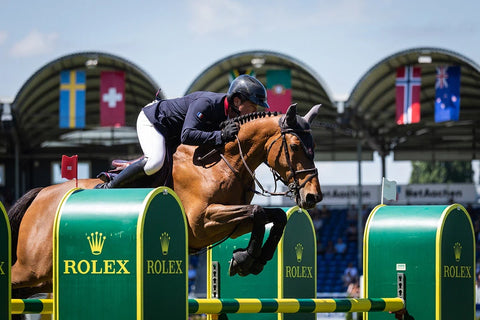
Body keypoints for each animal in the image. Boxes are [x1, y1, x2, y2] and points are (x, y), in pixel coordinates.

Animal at [7, 104, 322, 298]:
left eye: (314, 146)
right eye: (296, 146)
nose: (313, 196)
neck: (223, 161)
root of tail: (41, 193)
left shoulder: (231, 223)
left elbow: (273, 217)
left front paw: (249, 260)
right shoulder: (203, 221)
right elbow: (258, 211)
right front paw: (245, 260)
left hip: (43, 278)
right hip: (31, 269)